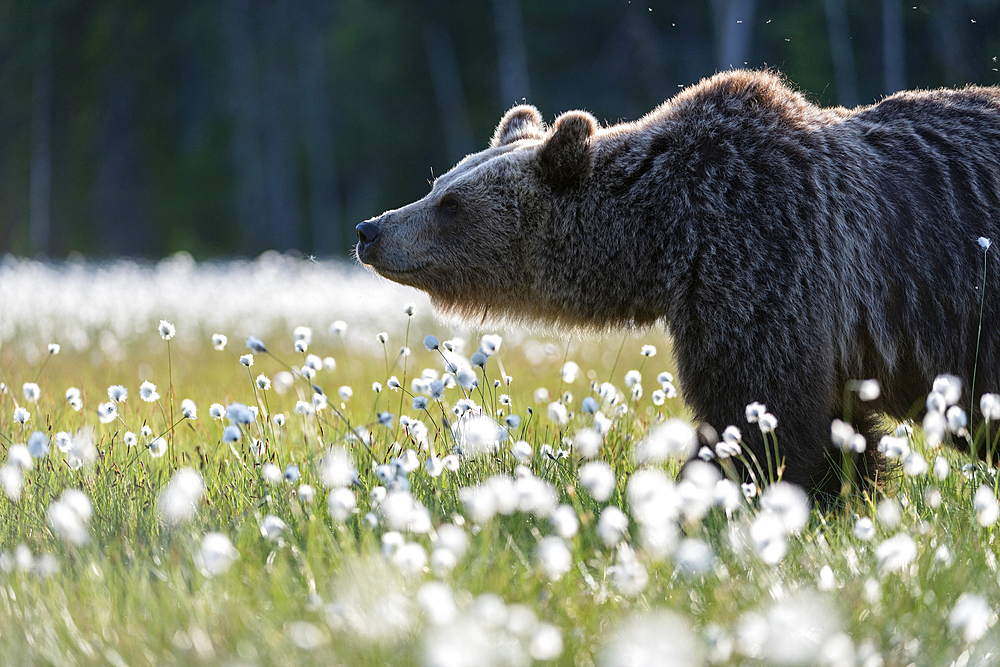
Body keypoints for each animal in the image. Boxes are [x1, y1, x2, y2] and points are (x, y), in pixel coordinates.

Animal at [358, 70, 1000, 498]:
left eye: (452, 204)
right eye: (439, 182)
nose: (371, 229)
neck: (669, 231)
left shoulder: (766, 257)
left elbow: (761, 412)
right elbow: (830, 429)